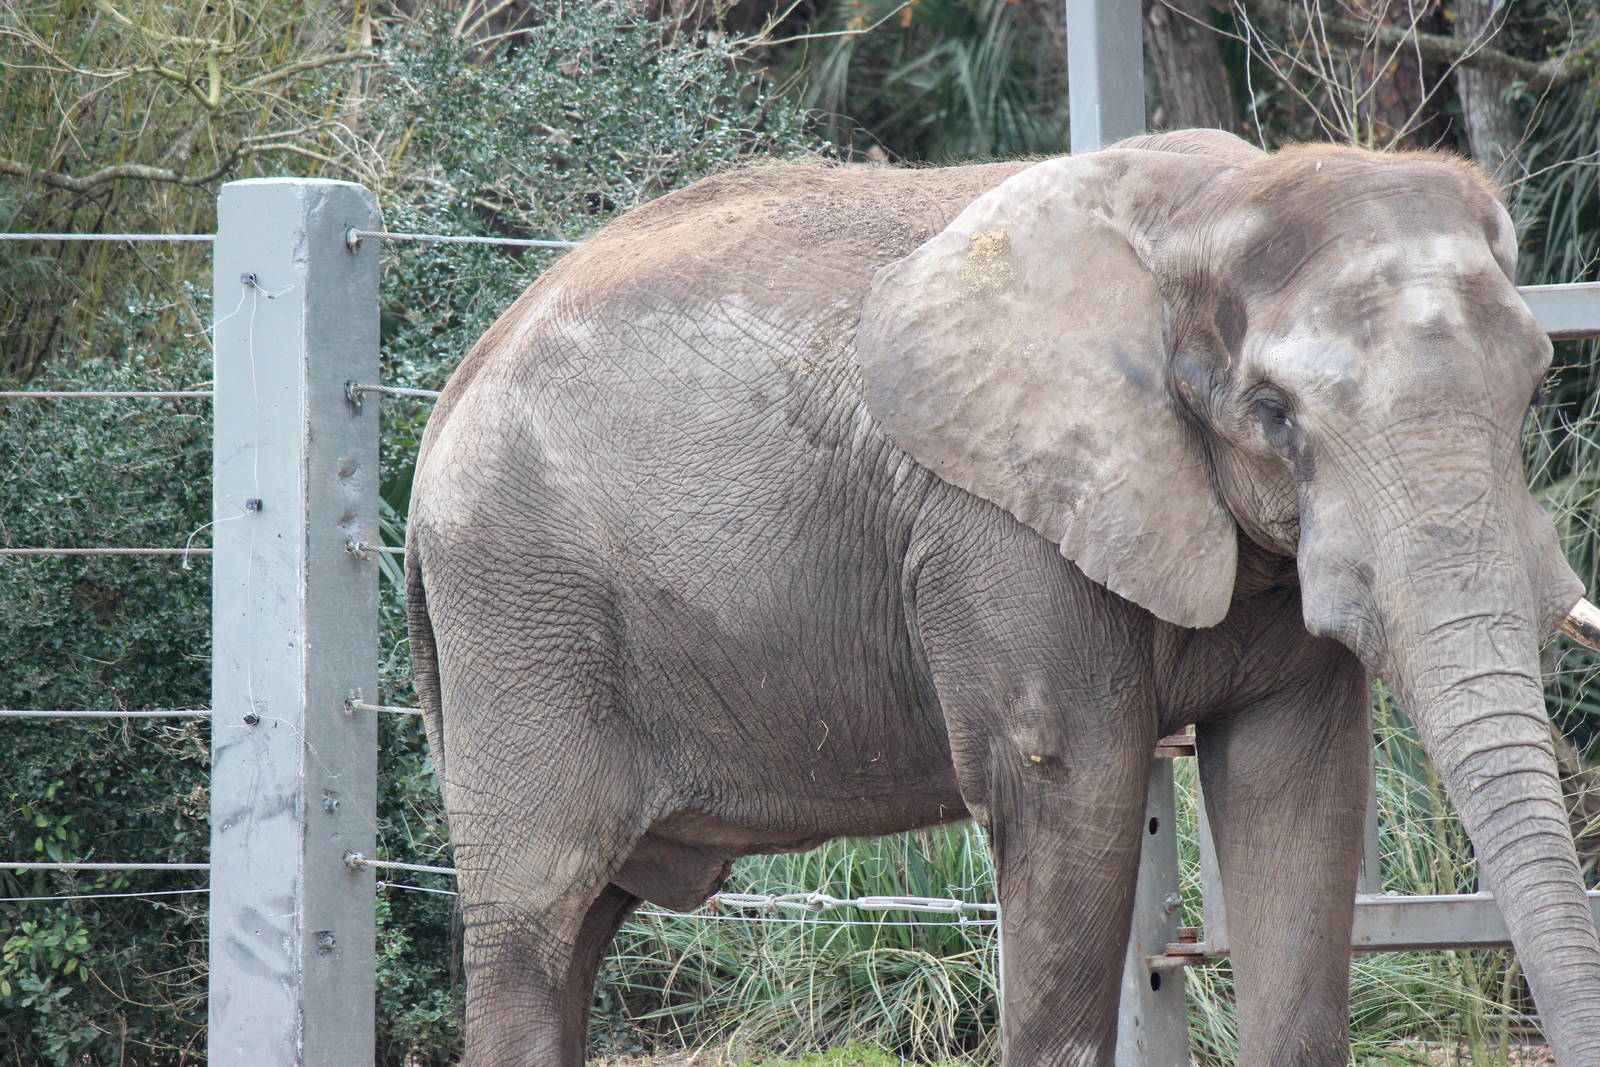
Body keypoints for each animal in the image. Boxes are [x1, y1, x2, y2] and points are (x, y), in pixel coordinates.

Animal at [405, 128, 1600, 1065]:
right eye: (1273, 413)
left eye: (1533, 384)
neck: (1211, 203)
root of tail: (449, 400)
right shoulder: (999, 531)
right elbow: (1071, 782)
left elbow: (1295, 785)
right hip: (519, 604)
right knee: (538, 916)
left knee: (586, 923)